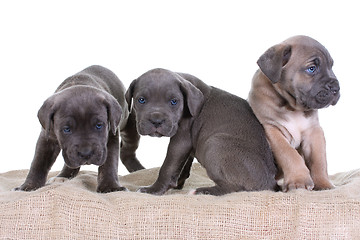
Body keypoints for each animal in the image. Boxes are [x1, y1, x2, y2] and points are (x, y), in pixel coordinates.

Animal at [15, 64, 145, 192]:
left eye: (99, 125)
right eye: (66, 129)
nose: (85, 153)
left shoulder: (110, 136)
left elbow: (109, 163)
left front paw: (110, 187)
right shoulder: (47, 137)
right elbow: (38, 162)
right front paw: (28, 186)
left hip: (131, 126)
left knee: (127, 151)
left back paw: (139, 169)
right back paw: (64, 176)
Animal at [125, 68, 278, 196]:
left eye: (174, 101)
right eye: (141, 100)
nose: (156, 120)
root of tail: (271, 184)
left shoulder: (181, 140)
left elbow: (168, 166)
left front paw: (153, 190)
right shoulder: (188, 145)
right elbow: (182, 165)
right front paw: (177, 183)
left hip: (214, 144)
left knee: (234, 188)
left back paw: (202, 191)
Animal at [249, 35, 338, 192]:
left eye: (331, 67)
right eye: (311, 69)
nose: (336, 88)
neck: (292, 106)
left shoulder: (313, 131)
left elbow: (319, 160)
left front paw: (323, 183)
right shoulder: (272, 130)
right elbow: (289, 154)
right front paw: (299, 181)